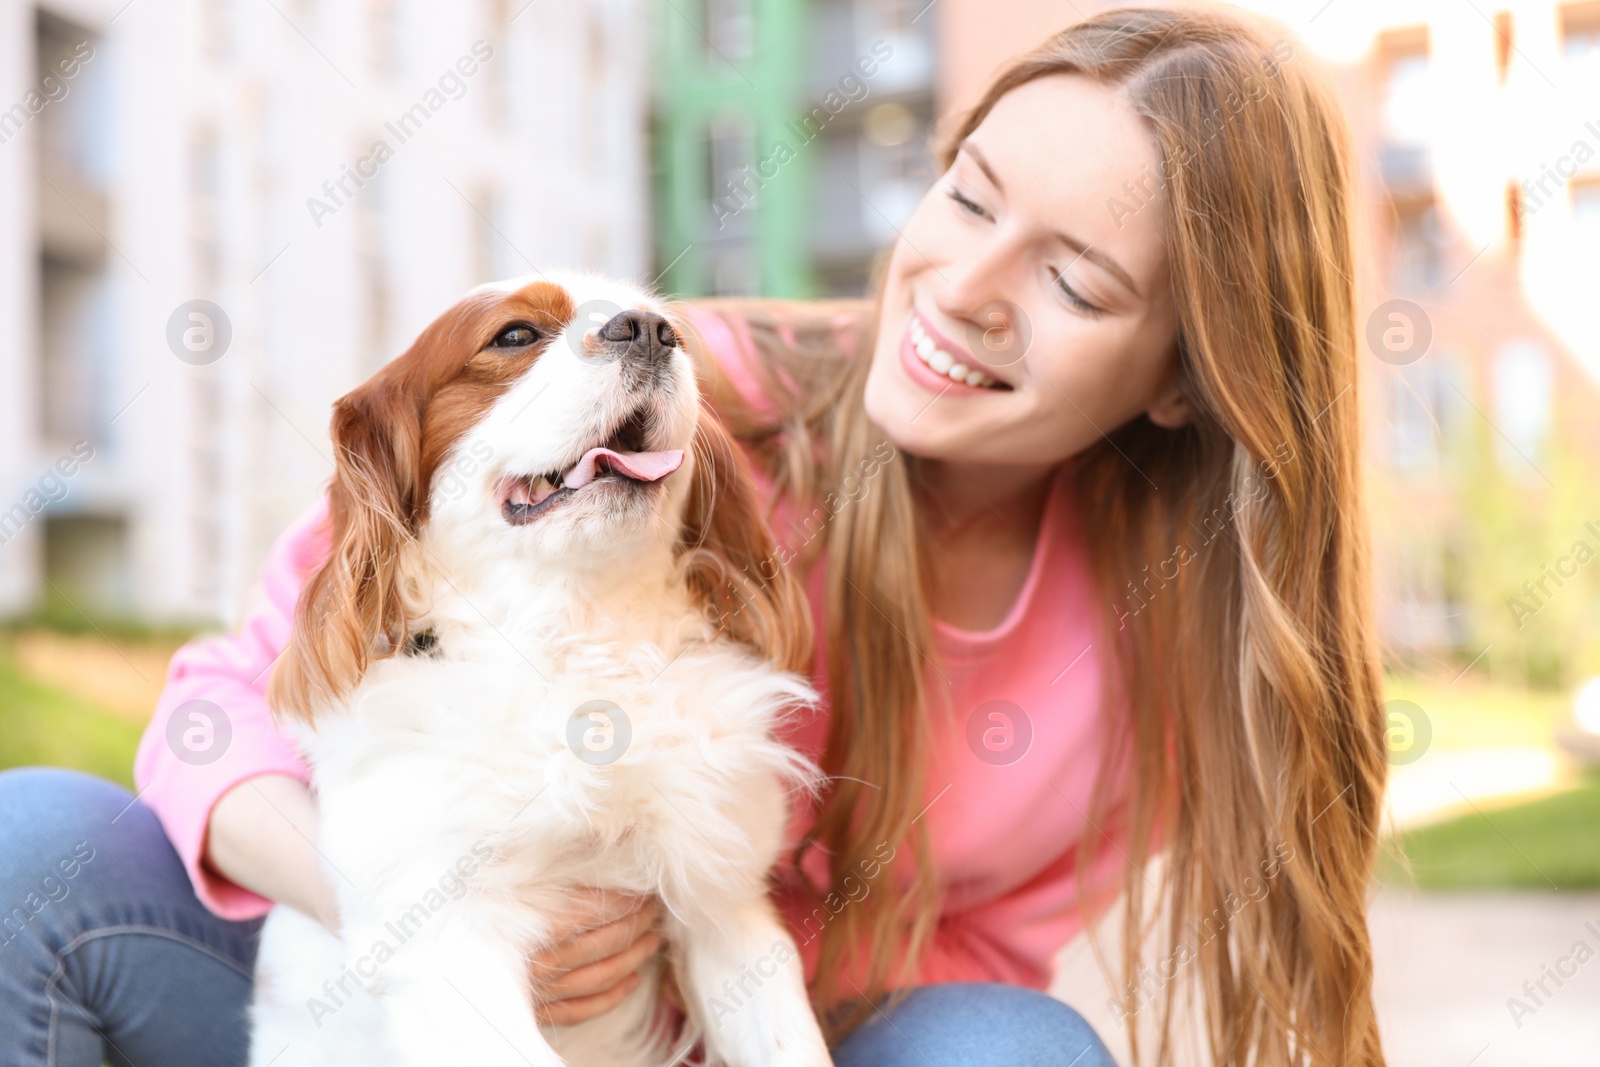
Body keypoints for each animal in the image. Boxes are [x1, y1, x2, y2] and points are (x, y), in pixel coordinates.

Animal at [249, 273, 838, 1067]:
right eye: (515, 335)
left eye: (675, 328)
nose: (649, 329)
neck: (574, 642)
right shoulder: (446, 942)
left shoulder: (726, 908)